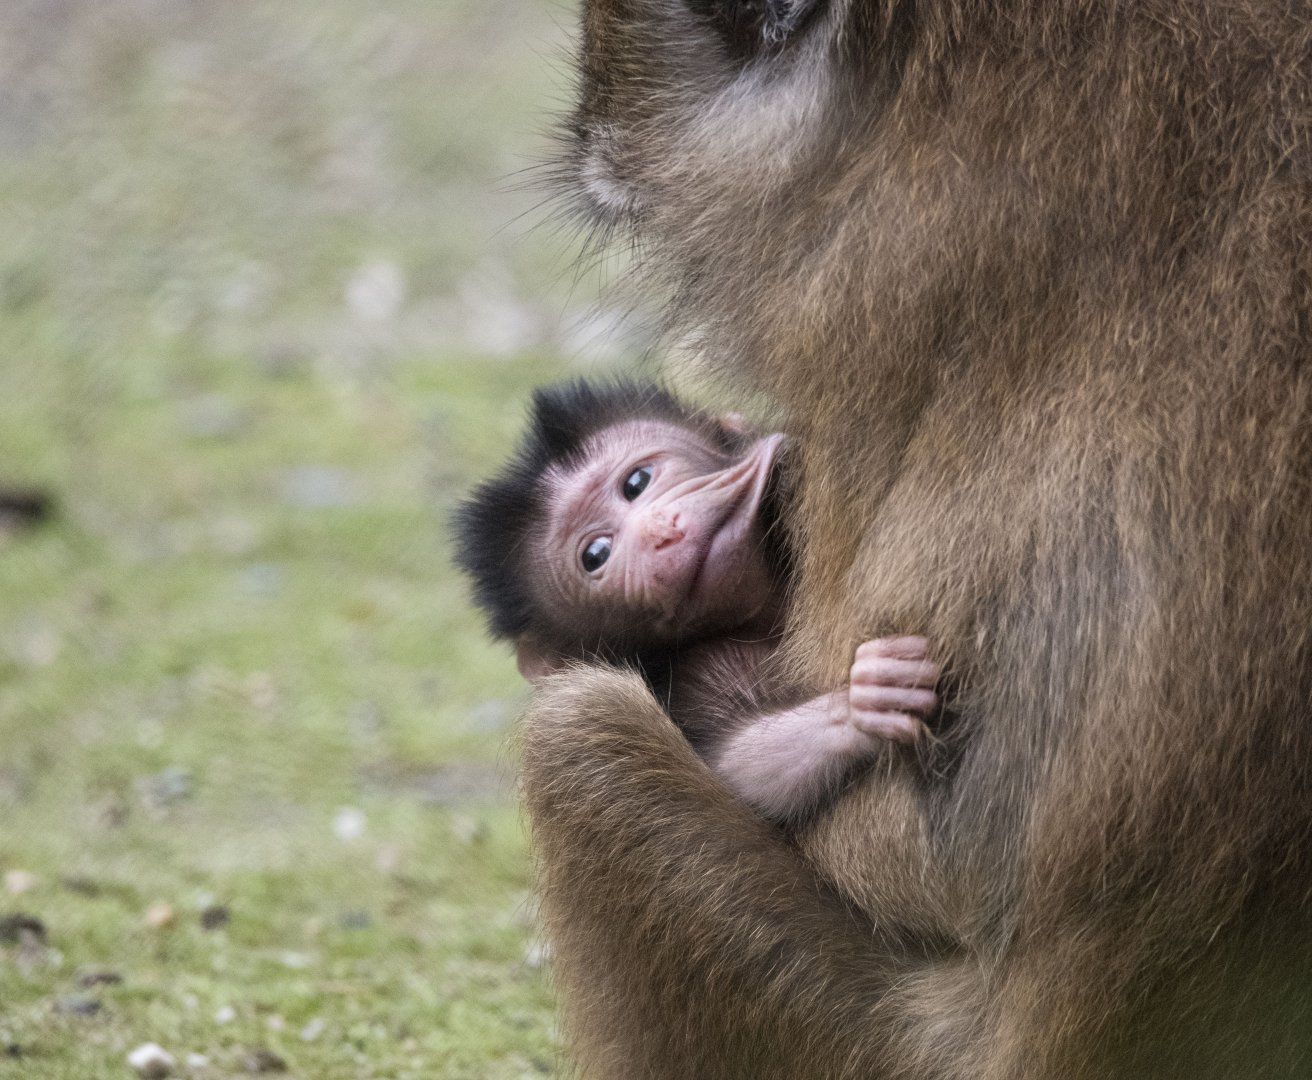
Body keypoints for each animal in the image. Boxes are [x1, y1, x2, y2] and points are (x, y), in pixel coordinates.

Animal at [454, 379, 941, 822]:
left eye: (637, 482)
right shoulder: (699, 668)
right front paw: (863, 705)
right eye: (595, 555)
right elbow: (737, 774)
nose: (659, 532)